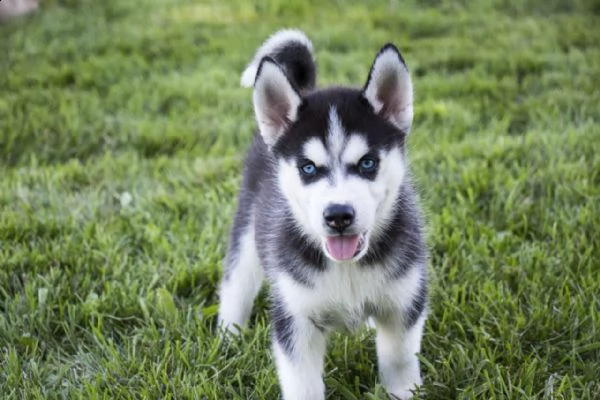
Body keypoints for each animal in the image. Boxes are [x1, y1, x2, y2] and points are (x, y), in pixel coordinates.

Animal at [218, 28, 428, 400]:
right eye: (308, 167)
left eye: (368, 163)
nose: (338, 215)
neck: (346, 269)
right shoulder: (295, 318)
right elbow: (302, 383)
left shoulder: (404, 303)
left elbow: (400, 360)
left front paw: (402, 390)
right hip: (247, 234)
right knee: (235, 284)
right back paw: (229, 338)